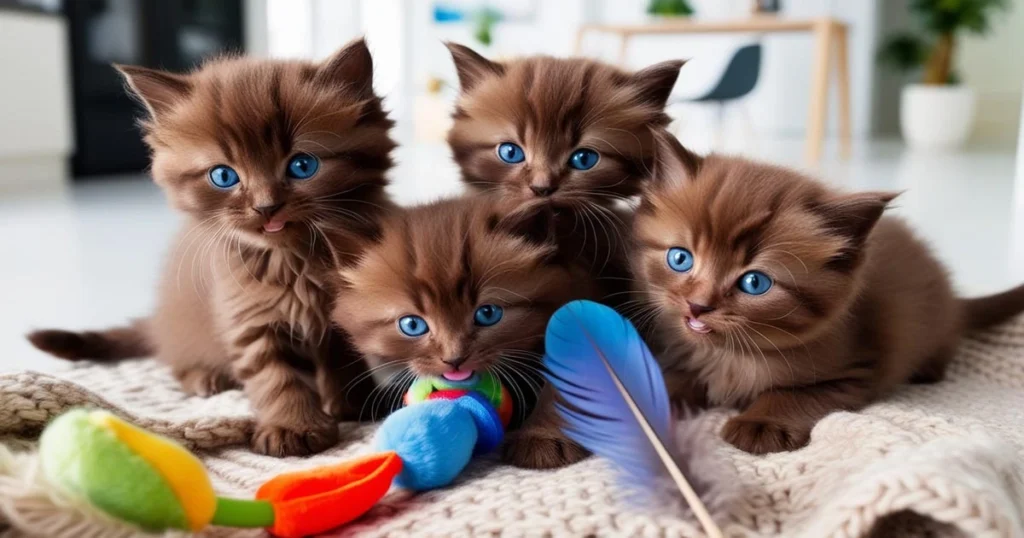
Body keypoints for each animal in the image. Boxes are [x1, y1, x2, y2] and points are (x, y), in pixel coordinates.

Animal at [27, 39, 395, 454]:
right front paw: (293, 426)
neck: (294, 261)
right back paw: (206, 378)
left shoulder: (343, 312)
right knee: (177, 360)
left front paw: (355, 404)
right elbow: (276, 375)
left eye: (302, 166)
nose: (266, 207)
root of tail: (157, 320)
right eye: (223, 176)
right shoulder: (249, 316)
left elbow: (345, 362)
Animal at [630, 130, 1024, 452]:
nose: (698, 305)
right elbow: (671, 379)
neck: (729, 355)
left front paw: (761, 422)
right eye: (680, 258)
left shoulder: (853, 372)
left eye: (755, 283)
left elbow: (792, 395)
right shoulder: (687, 357)